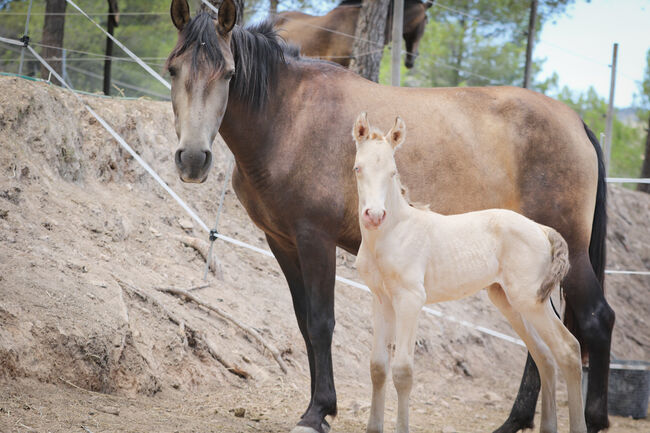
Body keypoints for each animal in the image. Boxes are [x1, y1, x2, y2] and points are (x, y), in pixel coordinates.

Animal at [352, 112, 584, 432]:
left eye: (392, 172)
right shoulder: (381, 299)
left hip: (530, 300)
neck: (392, 233)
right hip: (508, 301)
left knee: (568, 350)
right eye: (358, 168)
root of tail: (541, 229)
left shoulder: (410, 300)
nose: (374, 216)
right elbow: (377, 367)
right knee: (545, 356)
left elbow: (402, 371)